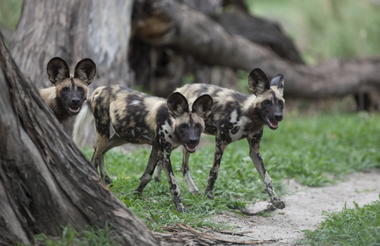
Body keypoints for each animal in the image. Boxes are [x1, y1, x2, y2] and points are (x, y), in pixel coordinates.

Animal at [156, 67, 286, 209]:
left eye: (281, 103)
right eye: (267, 102)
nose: (279, 116)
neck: (248, 117)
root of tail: (179, 88)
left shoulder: (254, 151)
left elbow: (266, 177)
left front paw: (275, 200)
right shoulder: (220, 142)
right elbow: (214, 171)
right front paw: (208, 195)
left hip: (190, 142)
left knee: (181, 166)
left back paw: (185, 188)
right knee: (167, 158)